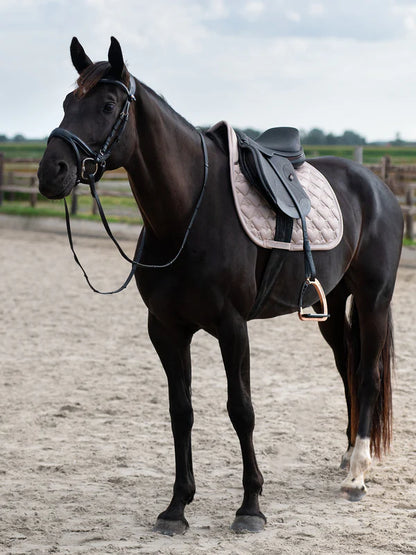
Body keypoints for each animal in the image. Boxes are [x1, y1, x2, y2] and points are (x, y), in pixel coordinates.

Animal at [38, 37, 404, 536]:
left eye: (108, 105)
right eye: (65, 103)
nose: (50, 171)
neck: (189, 212)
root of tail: (378, 187)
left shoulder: (233, 327)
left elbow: (241, 410)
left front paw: (250, 507)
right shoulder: (166, 330)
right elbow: (181, 411)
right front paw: (177, 507)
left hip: (373, 299)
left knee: (367, 374)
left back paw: (357, 475)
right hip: (331, 304)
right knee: (347, 364)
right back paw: (348, 457)